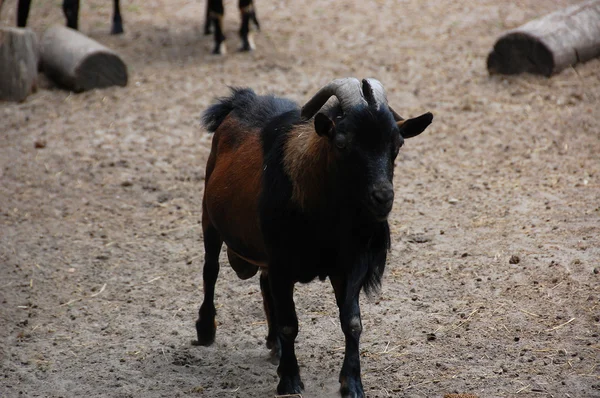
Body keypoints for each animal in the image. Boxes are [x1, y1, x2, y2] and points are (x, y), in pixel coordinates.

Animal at [195, 76, 434, 396]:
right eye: (342, 143)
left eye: (397, 144)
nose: (383, 197)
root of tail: (241, 100)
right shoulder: (282, 264)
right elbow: (290, 324)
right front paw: (289, 380)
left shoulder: (349, 264)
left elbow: (352, 322)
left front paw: (352, 383)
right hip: (209, 218)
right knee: (211, 269)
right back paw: (206, 330)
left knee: (262, 283)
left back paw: (274, 346)